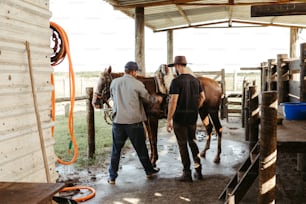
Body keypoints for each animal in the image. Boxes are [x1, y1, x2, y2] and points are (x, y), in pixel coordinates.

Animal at [92, 66, 224, 167]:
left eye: (104, 81)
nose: (95, 103)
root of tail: (217, 84)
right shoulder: (147, 120)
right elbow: (150, 139)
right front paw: (152, 159)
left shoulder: (153, 119)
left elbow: (154, 139)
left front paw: (153, 161)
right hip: (203, 111)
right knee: (209, 128)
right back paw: (203, 152)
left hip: (212, 111)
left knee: (218, 129)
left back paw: (217, 157)